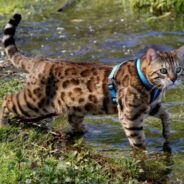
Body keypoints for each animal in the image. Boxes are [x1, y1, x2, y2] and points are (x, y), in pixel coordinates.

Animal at [0, 14, 184, 150]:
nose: (174, 80)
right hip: (34, 101)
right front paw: (144, 158)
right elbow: (139, 143)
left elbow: (166, 114)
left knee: (74, 122)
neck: (149, 84)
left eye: (179, 69)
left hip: (74, 107)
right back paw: (4, 124)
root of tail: (39, 60)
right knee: (7, 99)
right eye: (163, 71)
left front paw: (167, 132)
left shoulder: (151, 106)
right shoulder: (131, 117)